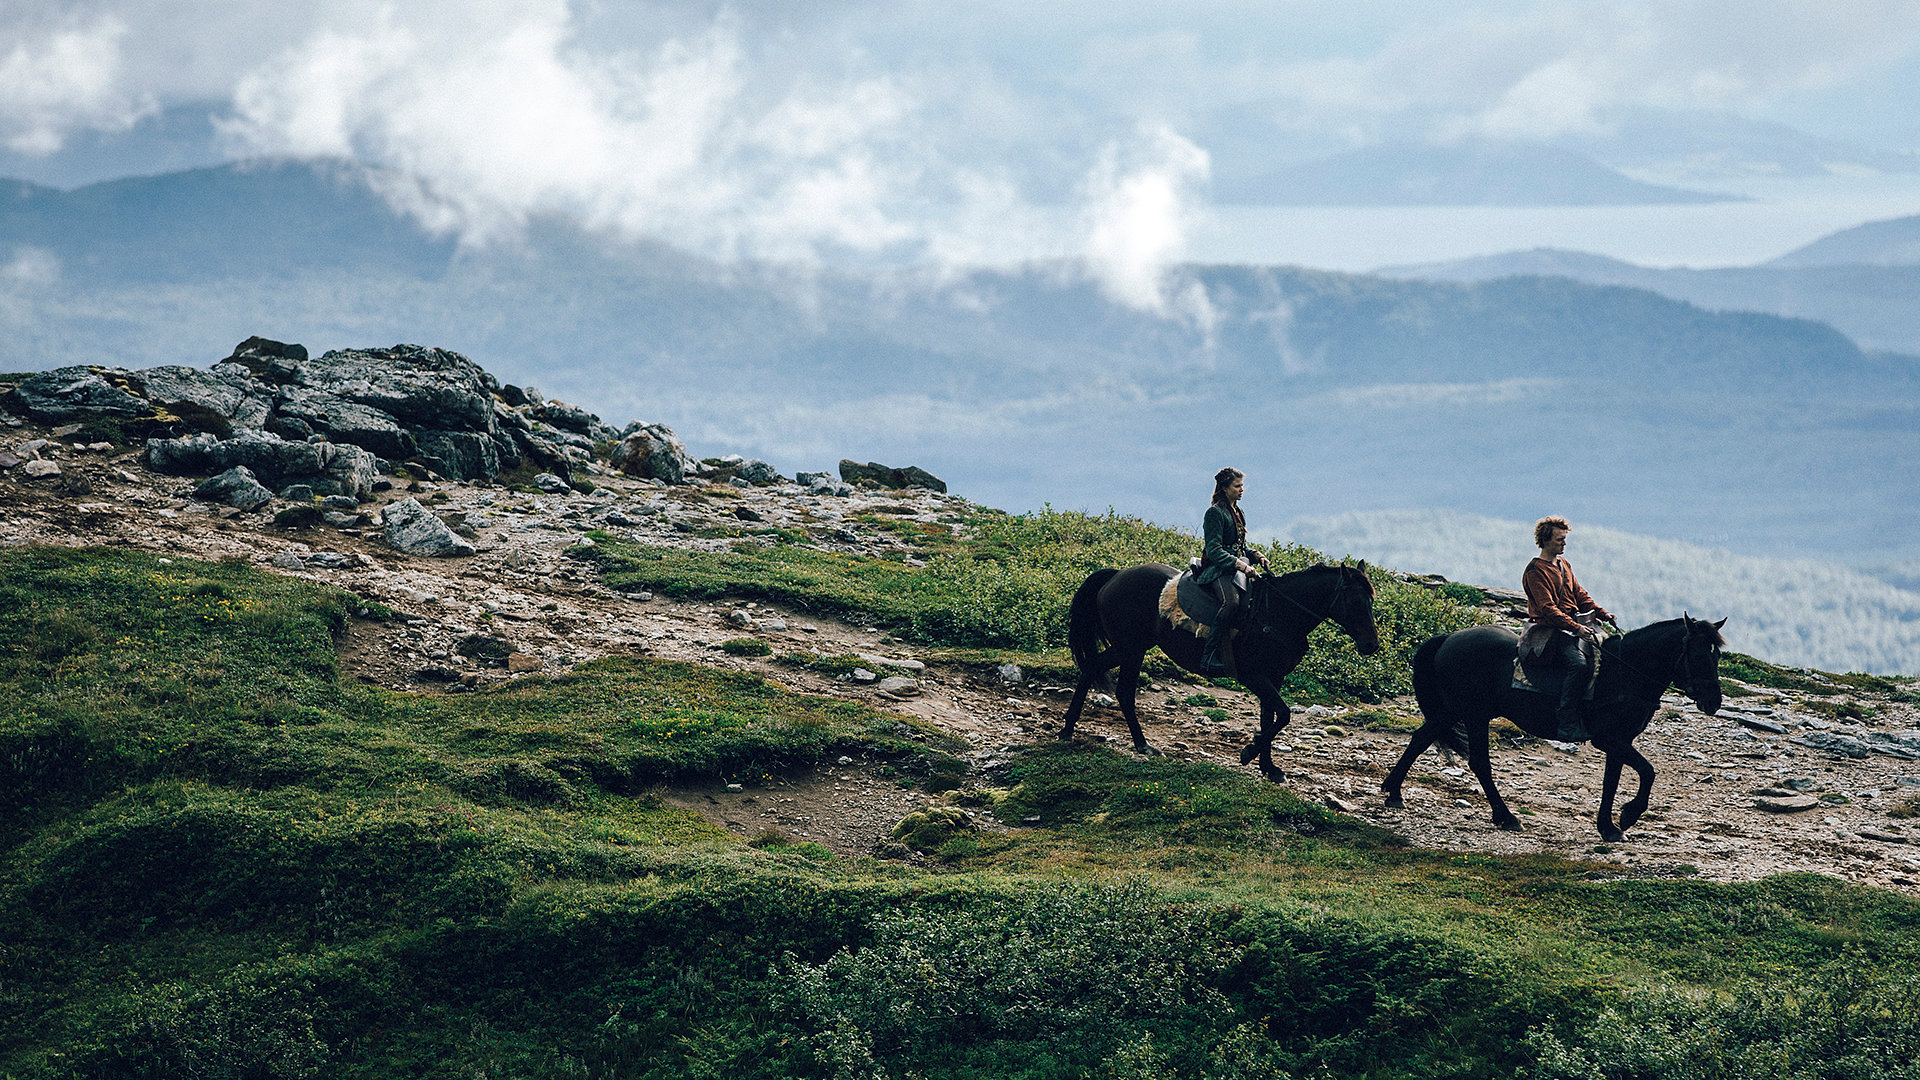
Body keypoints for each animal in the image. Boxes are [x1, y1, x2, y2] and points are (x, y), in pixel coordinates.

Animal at [1067, 557, 1382, 776]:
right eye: (1354, 601)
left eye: (1371, 600)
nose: (1371, 645)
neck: (1279, 613)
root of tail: (1116, 575)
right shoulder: (1253, 676)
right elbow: (1283, 715)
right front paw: (1248, 753)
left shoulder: (1274, 677)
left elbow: (1270, 718)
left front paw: (1269, 768)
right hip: (1131, 649)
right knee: (1124, 692)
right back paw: (1142, 744)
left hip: (1126, 648)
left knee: (1092, 667)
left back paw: (1067, 731)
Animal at [1382, 614, 1728, 841]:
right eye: (1698, 655)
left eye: (1717, 656)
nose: (1713, 701)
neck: (1625, 673)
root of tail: (1447, 638)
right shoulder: (1610, 740)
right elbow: (1648, 771)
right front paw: (1628, 816)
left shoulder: (1619, 742)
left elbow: (1612, 782)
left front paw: (1608, 827)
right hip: (1472, 714)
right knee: (1477, 761)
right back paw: (1506, 816)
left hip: (1453, 711)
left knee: (1421, 738)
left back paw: (1394, 792)